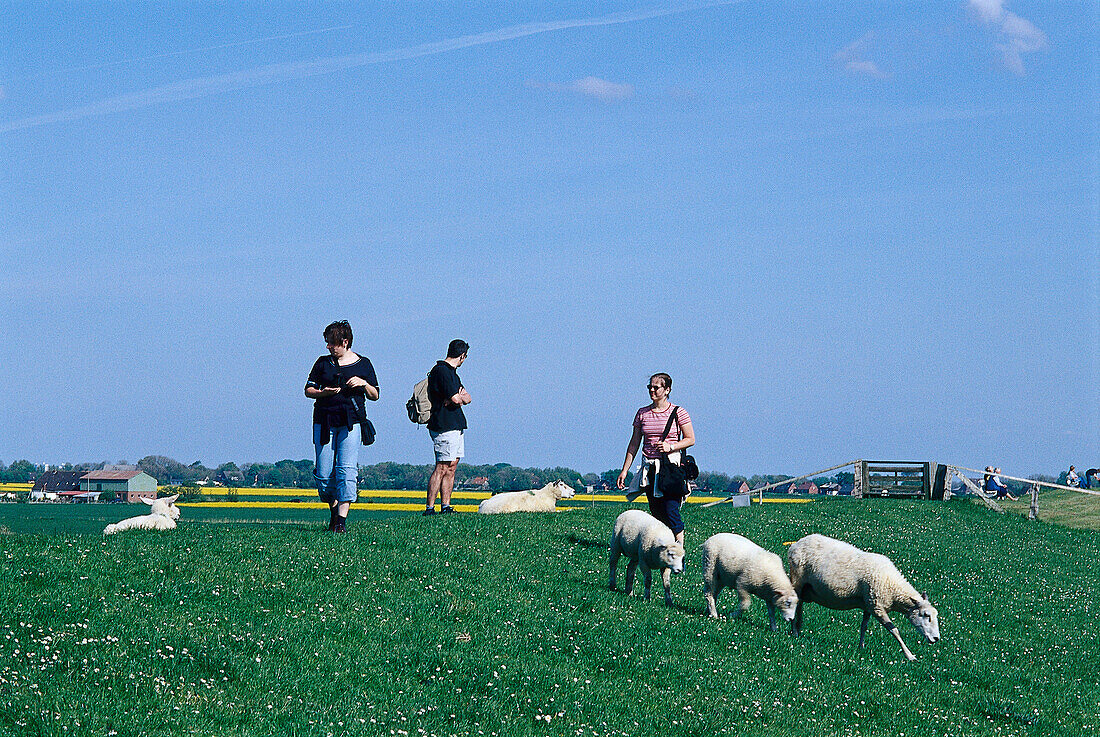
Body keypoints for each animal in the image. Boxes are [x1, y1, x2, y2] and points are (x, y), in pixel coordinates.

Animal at [787, 534, 941, 660]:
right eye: (926, 615)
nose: (936, 638)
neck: (893, 586)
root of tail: (796, 544)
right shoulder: (877, 607)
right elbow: (894, 630)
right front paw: (909, 655)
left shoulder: (869, 604)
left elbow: (864, 627)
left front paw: (861, 648)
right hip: (798, 580)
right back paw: (794, 632)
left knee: (799, 605)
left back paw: (798, 629)